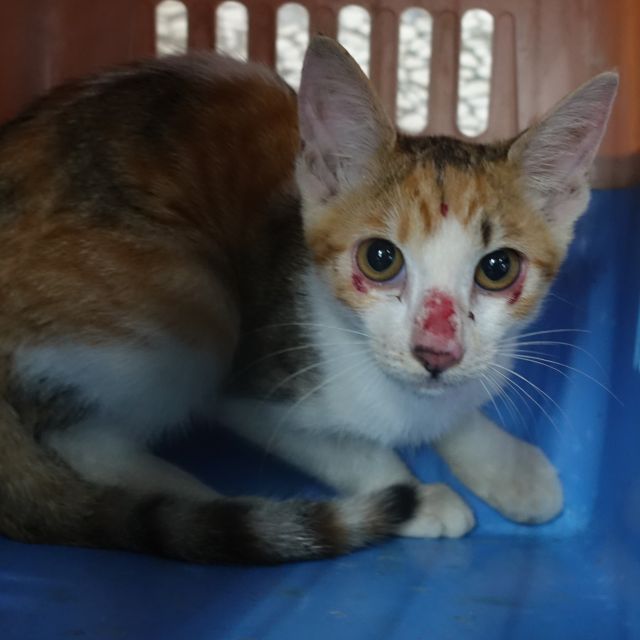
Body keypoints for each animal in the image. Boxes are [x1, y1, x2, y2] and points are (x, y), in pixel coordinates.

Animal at [0, 37, 616, 564]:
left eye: (497, 268)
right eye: (379, 259)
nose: (436, 350)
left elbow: (458, 409)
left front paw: (510, 468)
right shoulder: (250, 388)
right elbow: (344, 449)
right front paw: (417, 496)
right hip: (197, 302)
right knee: (80, 438)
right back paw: (207, 504)